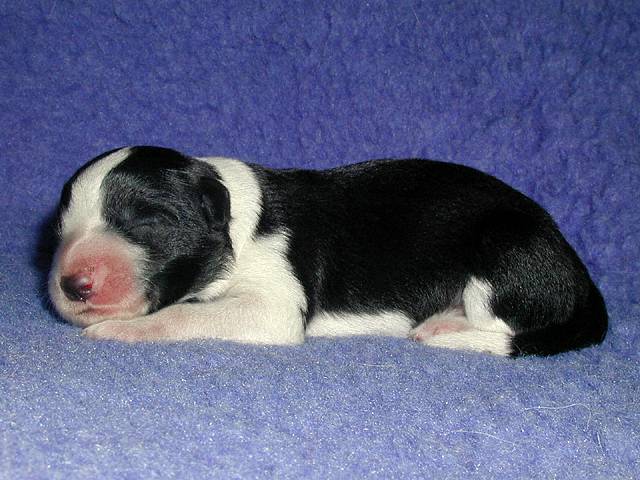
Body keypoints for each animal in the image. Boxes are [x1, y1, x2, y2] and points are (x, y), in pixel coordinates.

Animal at [48, 146, 607, 356]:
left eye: (146, 219)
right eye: (58, 229)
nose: (71, 285)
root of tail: (580, 277)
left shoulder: (271, 304)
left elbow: (184, 315)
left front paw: (120, 330)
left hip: (503, 249)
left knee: (507, 322)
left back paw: (445, 327)